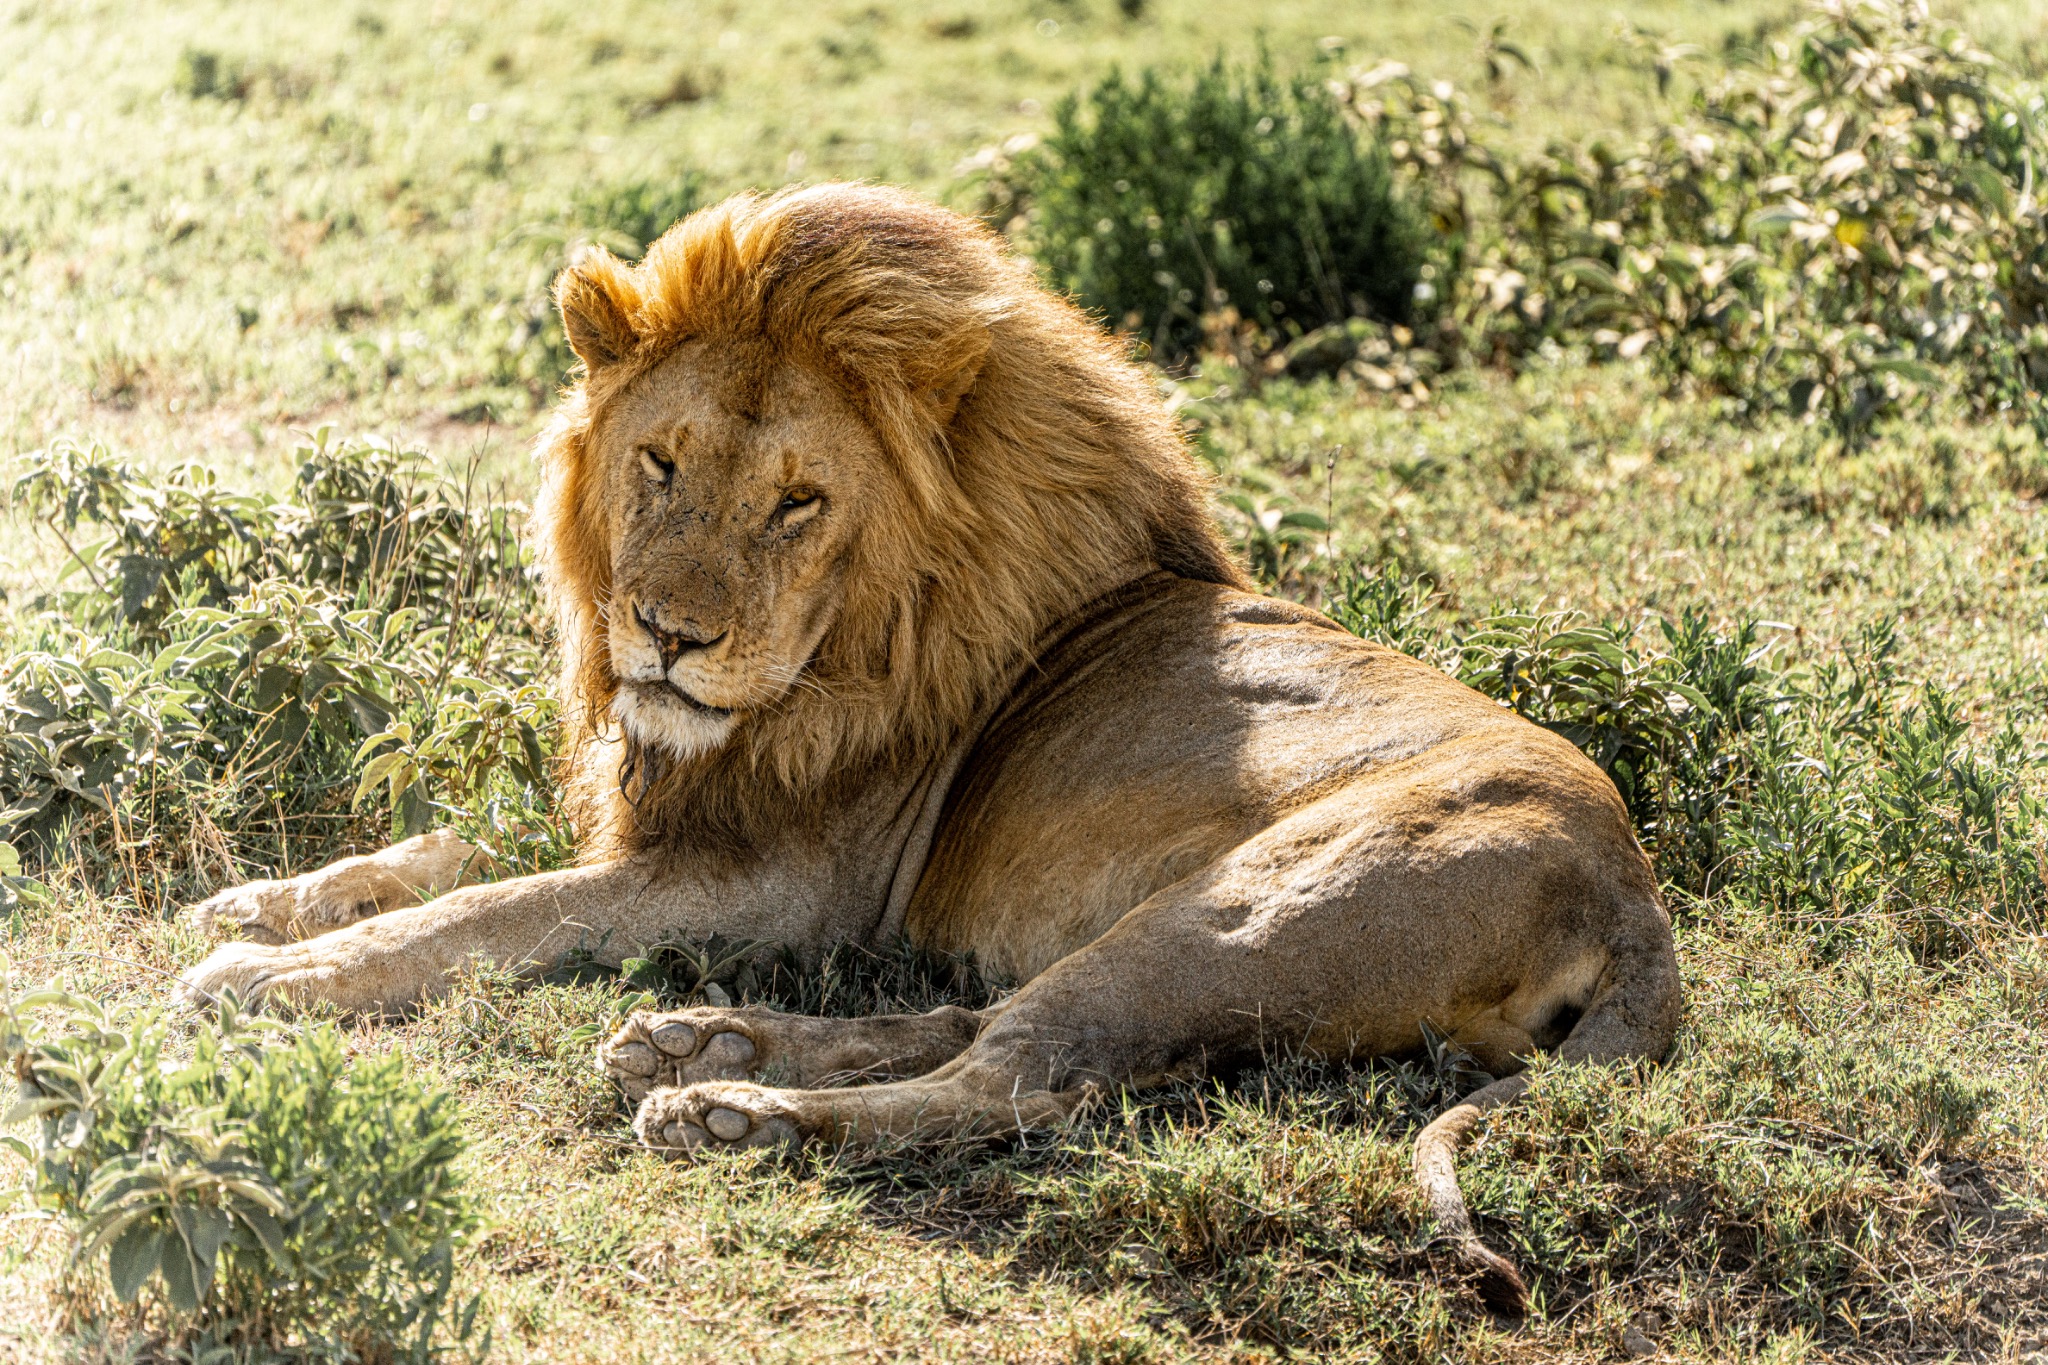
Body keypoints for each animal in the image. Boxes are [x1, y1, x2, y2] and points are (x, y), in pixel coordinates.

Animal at [179, 182, 1682, 1311]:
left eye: (798, 502)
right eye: (659, 463)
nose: (664, 636)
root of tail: (1636, 896)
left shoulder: (781, 877)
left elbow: (490, 913)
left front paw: (271, 976)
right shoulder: (675, 797)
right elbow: (452, 851)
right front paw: (261, 902)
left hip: (1250, 908)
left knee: (1027, 1076)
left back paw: (727, 1112)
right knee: (980, 1020)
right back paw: (691, 1040)